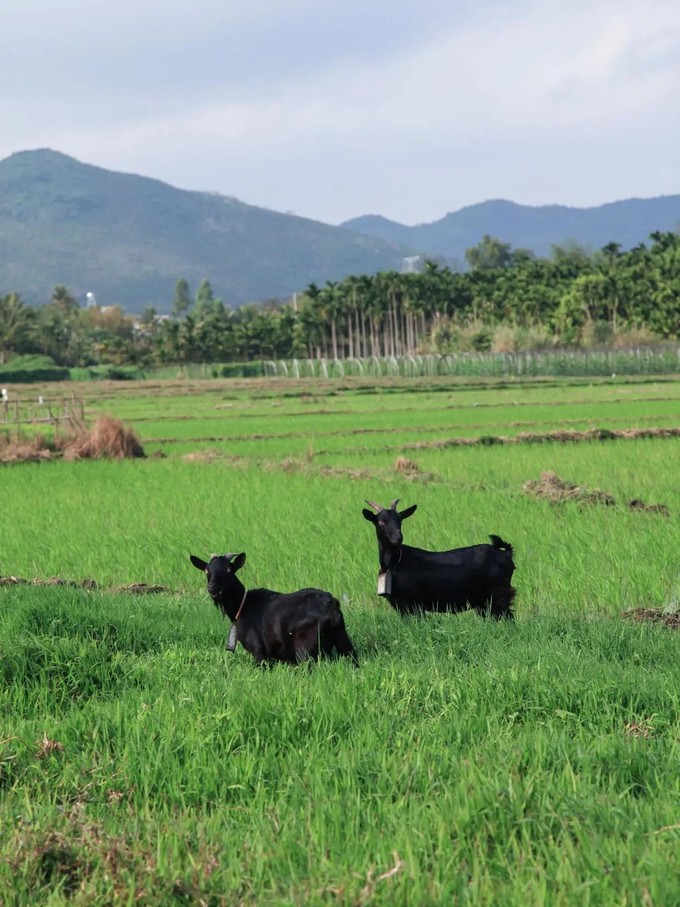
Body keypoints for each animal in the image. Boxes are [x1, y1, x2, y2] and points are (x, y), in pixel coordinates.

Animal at [186, 548, 356, 664]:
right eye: (207, 570)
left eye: (229, 569)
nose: (213, 588)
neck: (242, 604)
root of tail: (331, 603)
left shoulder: (259, 652)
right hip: (342, 638)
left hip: (305, 648)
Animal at [362, 500, 516, 620]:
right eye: (380, 522)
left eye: (400, 521)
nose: (397, 538)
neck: (394, 563)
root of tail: (507, 554)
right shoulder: (402, 606)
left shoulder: (414, 603)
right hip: (483, 602)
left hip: (499, 594)